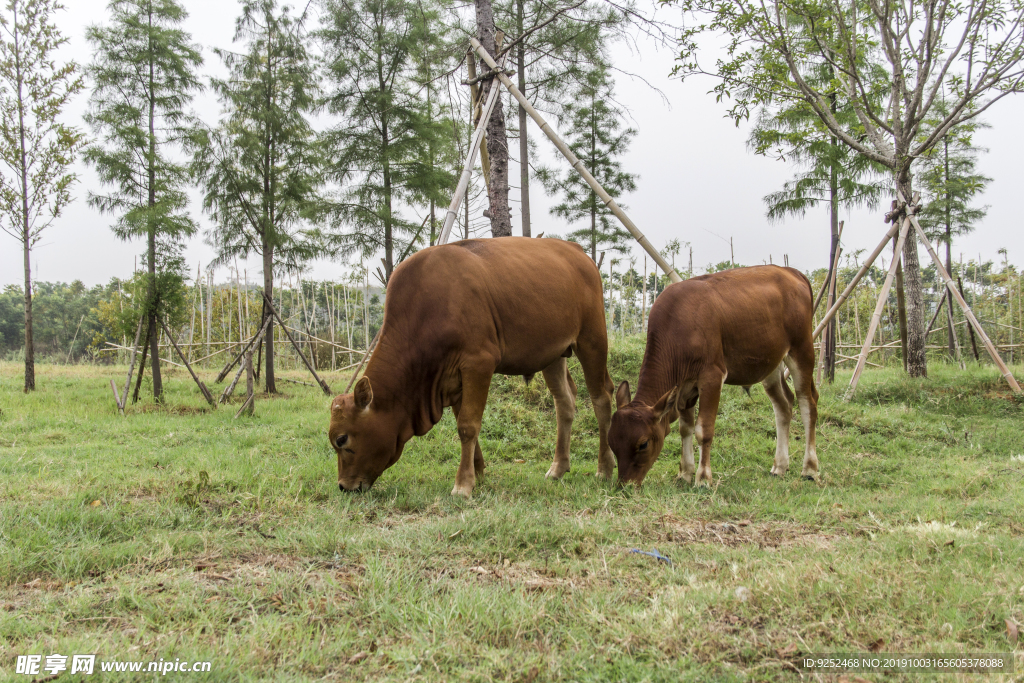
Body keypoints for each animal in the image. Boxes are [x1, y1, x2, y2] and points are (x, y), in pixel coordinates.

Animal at [606, 264, 815, 489]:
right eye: (612, 443)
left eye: (643, 444)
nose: (625, 484)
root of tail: (791, 271)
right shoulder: (684, 387)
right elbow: (685, 428)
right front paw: (685, 473)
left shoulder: (712, 376)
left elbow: (703, 430)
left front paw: (703, 478)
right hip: (771, 364)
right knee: (784, 405)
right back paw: (780, 466)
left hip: (802, 350)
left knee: (808, 404)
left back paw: (810, 469)